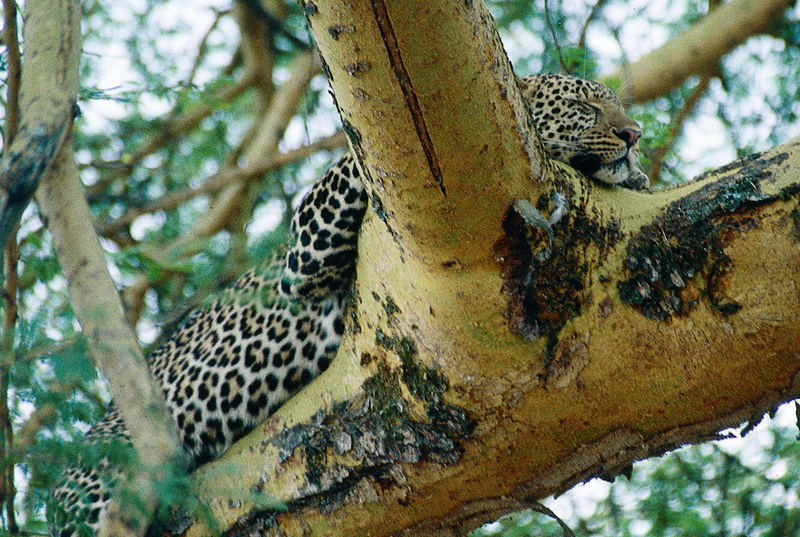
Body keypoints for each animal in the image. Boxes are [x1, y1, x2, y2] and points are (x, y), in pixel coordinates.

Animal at [48, 72, 648, 536]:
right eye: (585, 106)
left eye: (614, 105)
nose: (634, 134)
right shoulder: (303, 262)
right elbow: (351, 165)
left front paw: (638, 177)